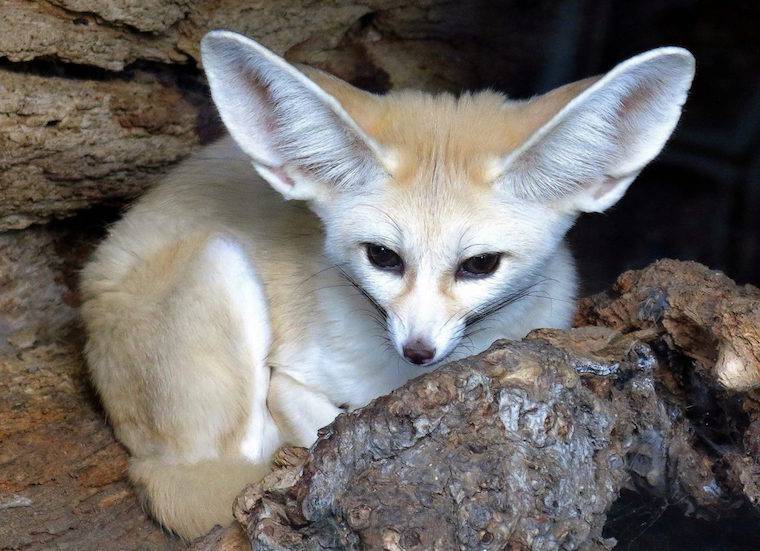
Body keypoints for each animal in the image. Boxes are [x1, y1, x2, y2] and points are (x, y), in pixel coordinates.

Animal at [80, 30, 694, 539]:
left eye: (479, 265)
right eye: (382, 257)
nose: (417, 350)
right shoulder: (290, 378)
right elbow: (313, 427)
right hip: (220, 261)